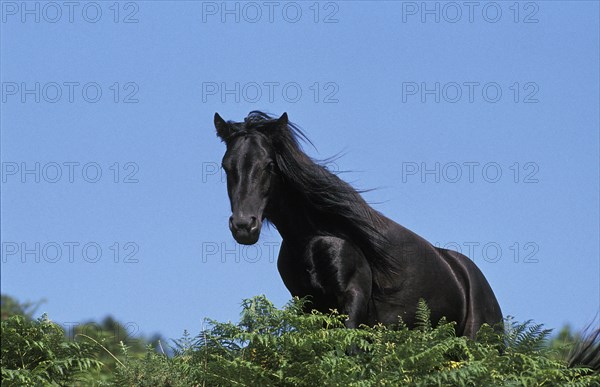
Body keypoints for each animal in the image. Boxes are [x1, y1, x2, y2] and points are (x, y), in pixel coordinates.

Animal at [213, 110, 504, 338]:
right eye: (226, 166)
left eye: (269, 165)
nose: (244, 226)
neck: (315, 238)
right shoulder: (309, 307)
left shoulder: (353, 298)